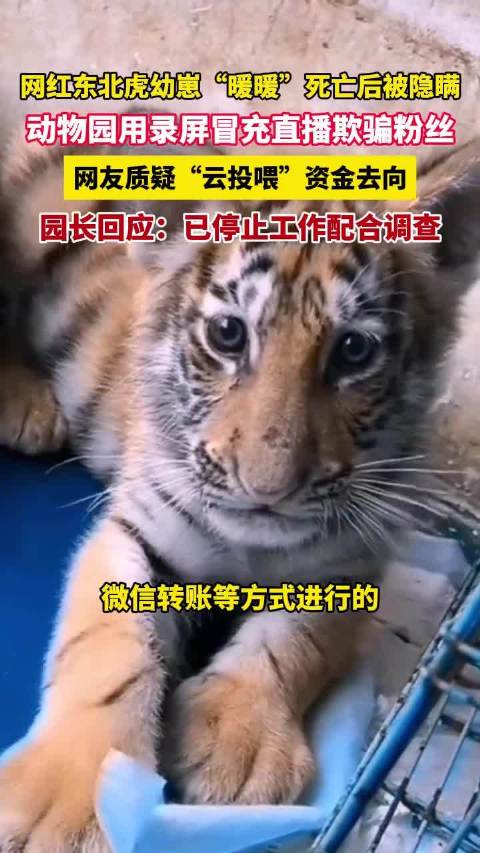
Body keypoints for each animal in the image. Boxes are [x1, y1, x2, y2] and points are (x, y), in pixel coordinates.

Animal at [0, 136, 479, 852]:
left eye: (353, 350)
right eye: (228, 335)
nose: (267, 490)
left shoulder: (353, 557)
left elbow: (297, 640)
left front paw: (236, 746)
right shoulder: (138, 524)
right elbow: (109, 652)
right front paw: (69, 799)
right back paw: (27, 406)